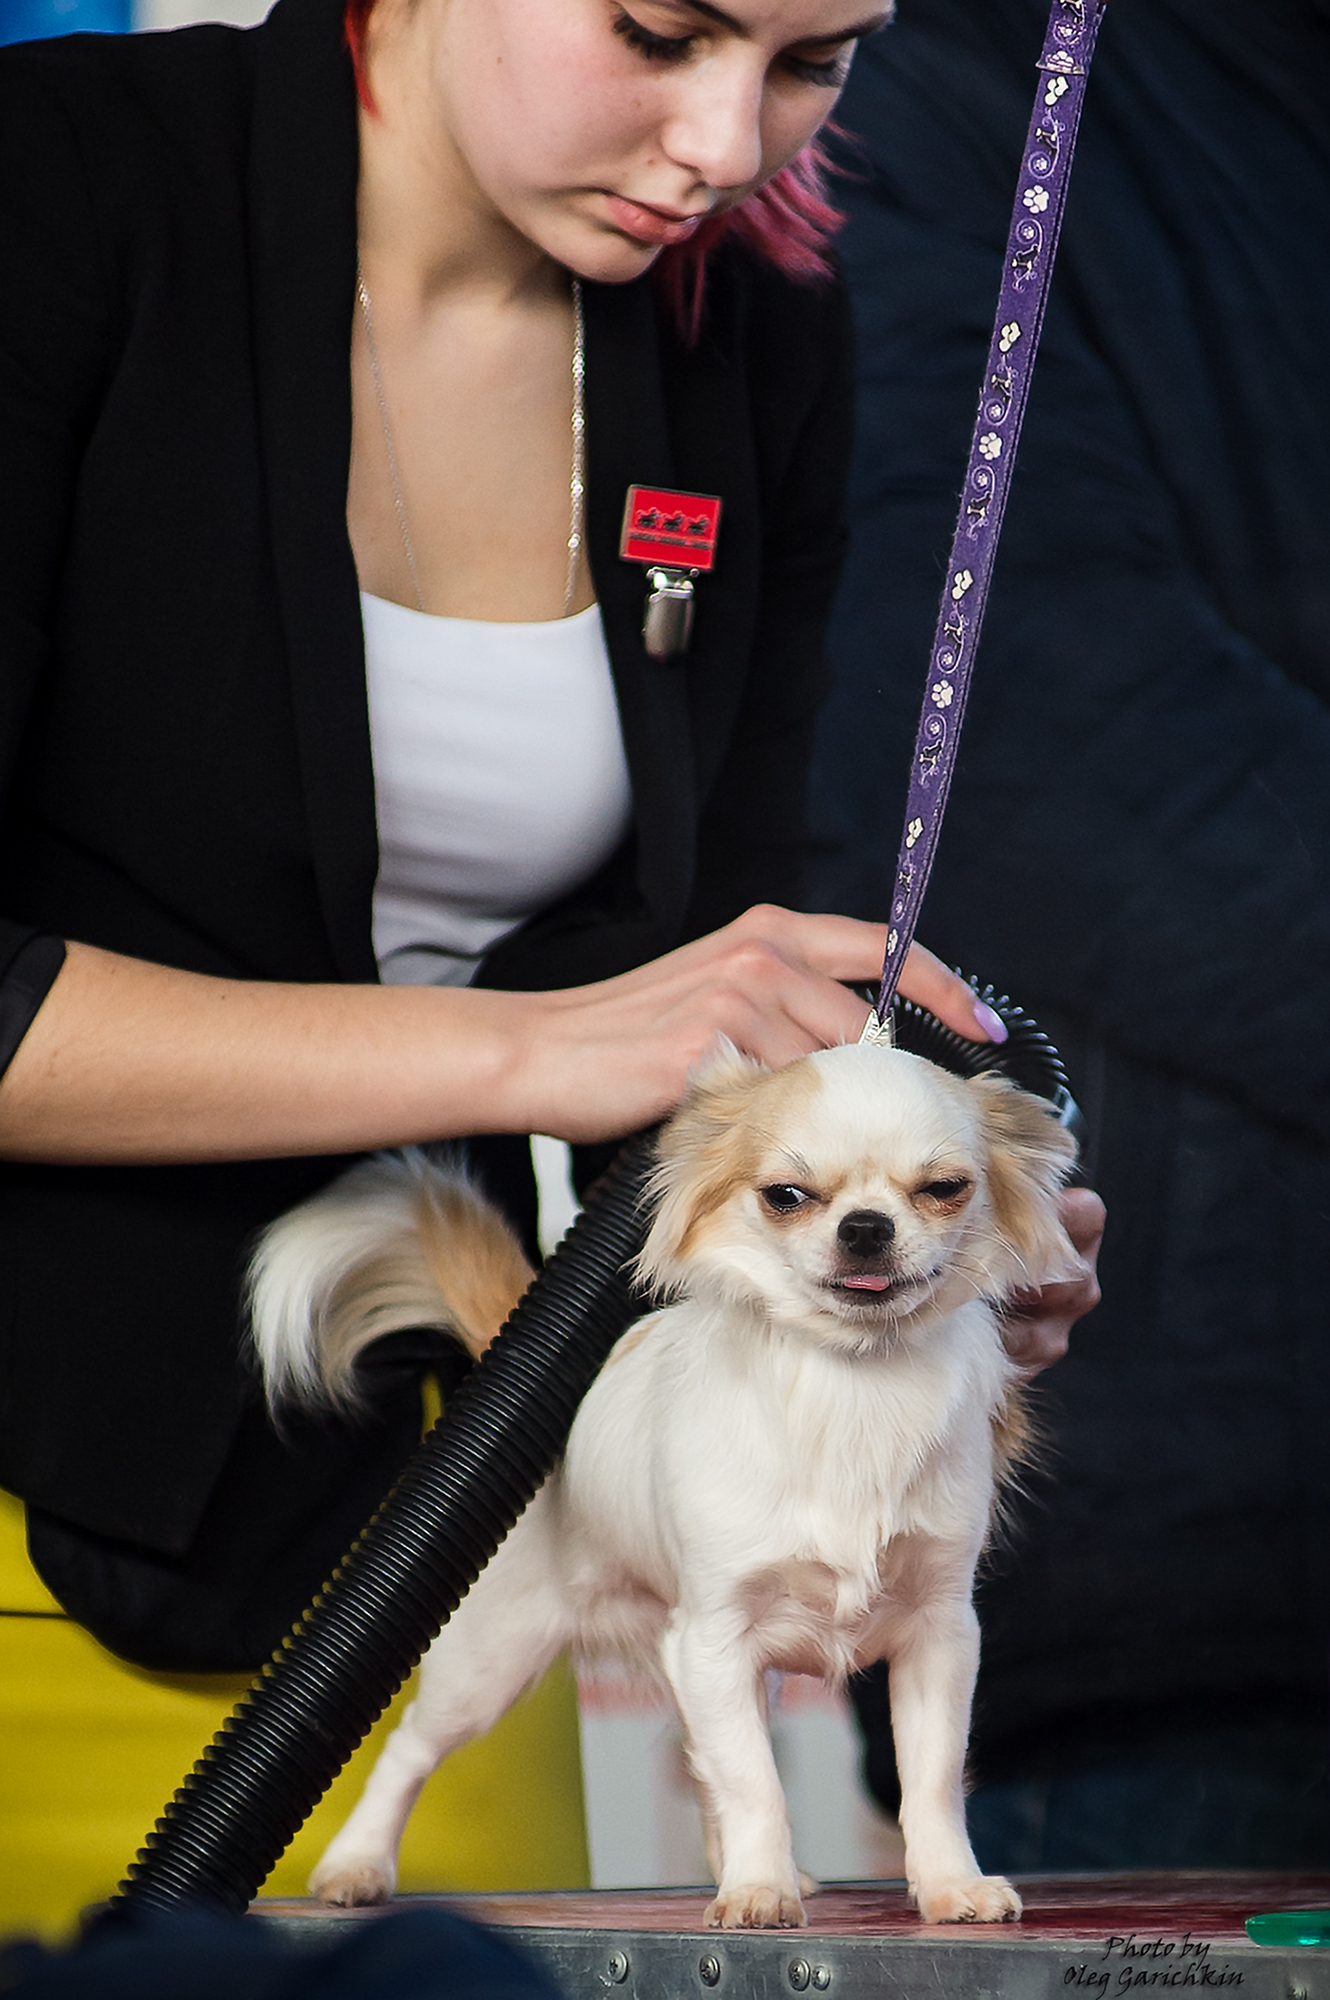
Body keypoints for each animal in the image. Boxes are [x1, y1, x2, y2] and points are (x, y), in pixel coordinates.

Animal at [252, 1040, 1080, 1928]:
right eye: (786, 1196)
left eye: (944, 1188)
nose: (865, 1227)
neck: (852, 1382)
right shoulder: (716, 1637)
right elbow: (756, 1784)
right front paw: (757, 1892)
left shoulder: (935, 1635)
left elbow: (928, 1777)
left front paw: (949, 1883)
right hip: (493, 1660)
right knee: (410, 1745)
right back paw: (357, 1862)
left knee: (704, 1768)